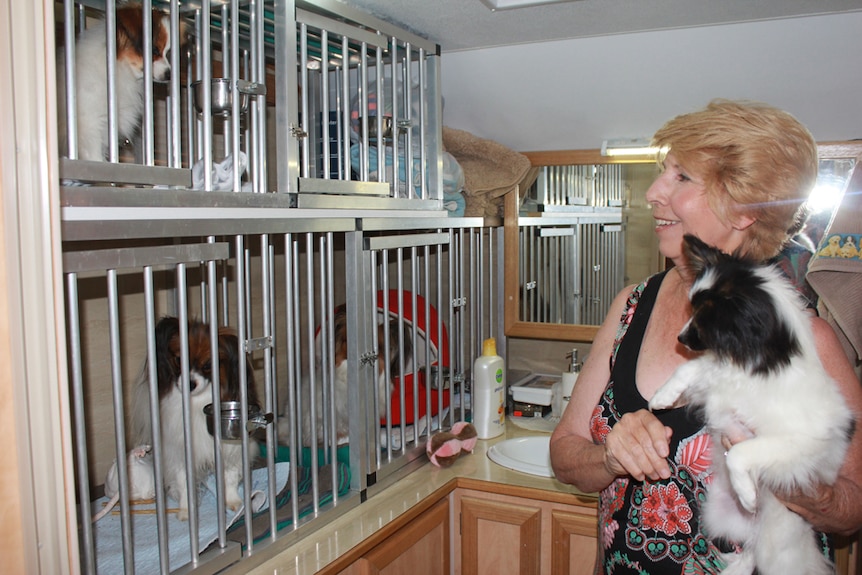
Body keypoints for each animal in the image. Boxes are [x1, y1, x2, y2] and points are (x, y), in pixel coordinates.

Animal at [130, 318, 262, 524]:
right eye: (178, 360)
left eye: (208, 364)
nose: (190, 384)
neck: (196, 402)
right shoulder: (180, 452)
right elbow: (184, 483)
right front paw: (187, 510)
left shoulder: (232, 447)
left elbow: (230, 476)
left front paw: (234, 502)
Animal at [652, 234, 852, 575]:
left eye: (703, 318)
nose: (680, 338)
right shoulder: (720, 378)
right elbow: (688, 369)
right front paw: (662, 395)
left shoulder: (799, 442)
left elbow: (741, 453)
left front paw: (746, 492)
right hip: (716, 511)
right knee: (747, 549)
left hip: (776, 545)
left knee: (759, 552)